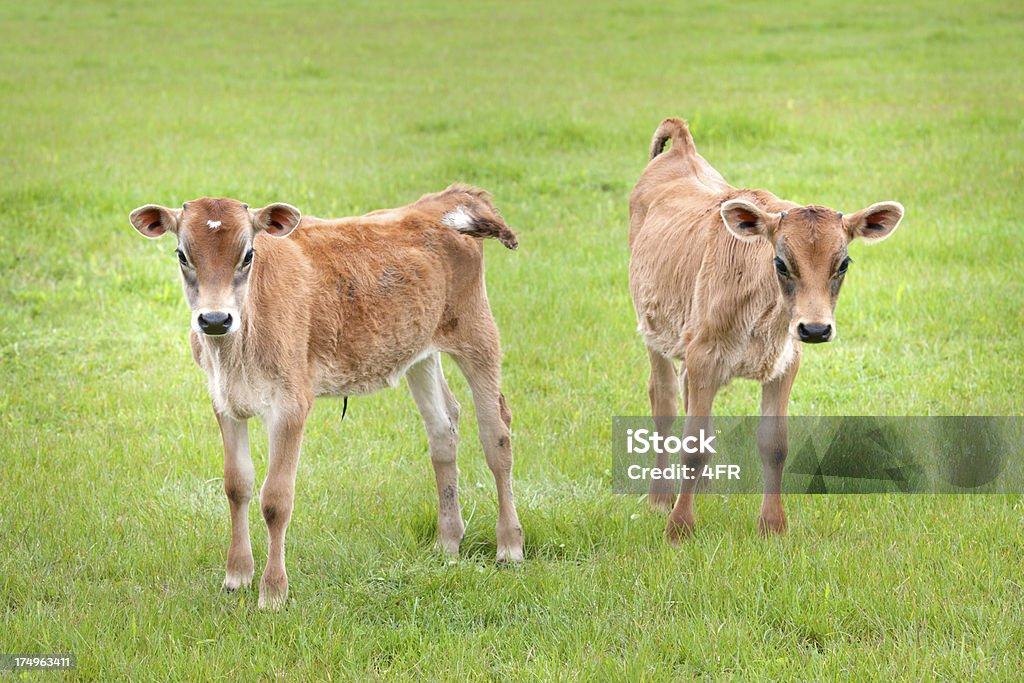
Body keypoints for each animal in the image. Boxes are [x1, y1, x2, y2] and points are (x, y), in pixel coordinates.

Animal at [131, 183, 524, 610]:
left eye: (248, 254)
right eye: (182, 254)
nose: (215, 319)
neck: (233, 353)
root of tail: (446, 197)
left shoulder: (291, 404)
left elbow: (276, 499)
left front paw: (273, 591)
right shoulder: (224, 401)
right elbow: (236, 485)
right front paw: (236, 575)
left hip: (477, 333)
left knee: (496, 435)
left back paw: (509, 546)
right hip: (419, 353)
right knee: (442, 428)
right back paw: (448, 541)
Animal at [630, 117, 905, 540]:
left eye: (843, 263)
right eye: (780, 262)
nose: (815, 329)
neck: (765, 319)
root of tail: (682, 148)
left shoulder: (785, 361)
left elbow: (775, 445)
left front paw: (773, 525)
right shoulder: (705, 354)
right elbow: (692, 445)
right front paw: (679, 528)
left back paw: (703, 490)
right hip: (654, 330)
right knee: (664, 399)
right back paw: (661, 499)